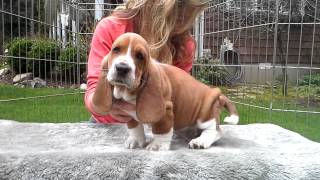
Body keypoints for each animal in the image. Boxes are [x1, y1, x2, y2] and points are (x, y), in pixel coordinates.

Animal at [92, 32, 238, 150]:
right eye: (116, 49)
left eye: (140, 56)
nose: (122, 68)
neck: (129, 92)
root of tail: (216, 94)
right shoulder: (128, 114)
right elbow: (134, 127)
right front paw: (136, 141)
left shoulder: (165, 111)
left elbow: (161, 130)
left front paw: (157, 145)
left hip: (205, 113)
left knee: (214, 130)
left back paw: (200, 141)